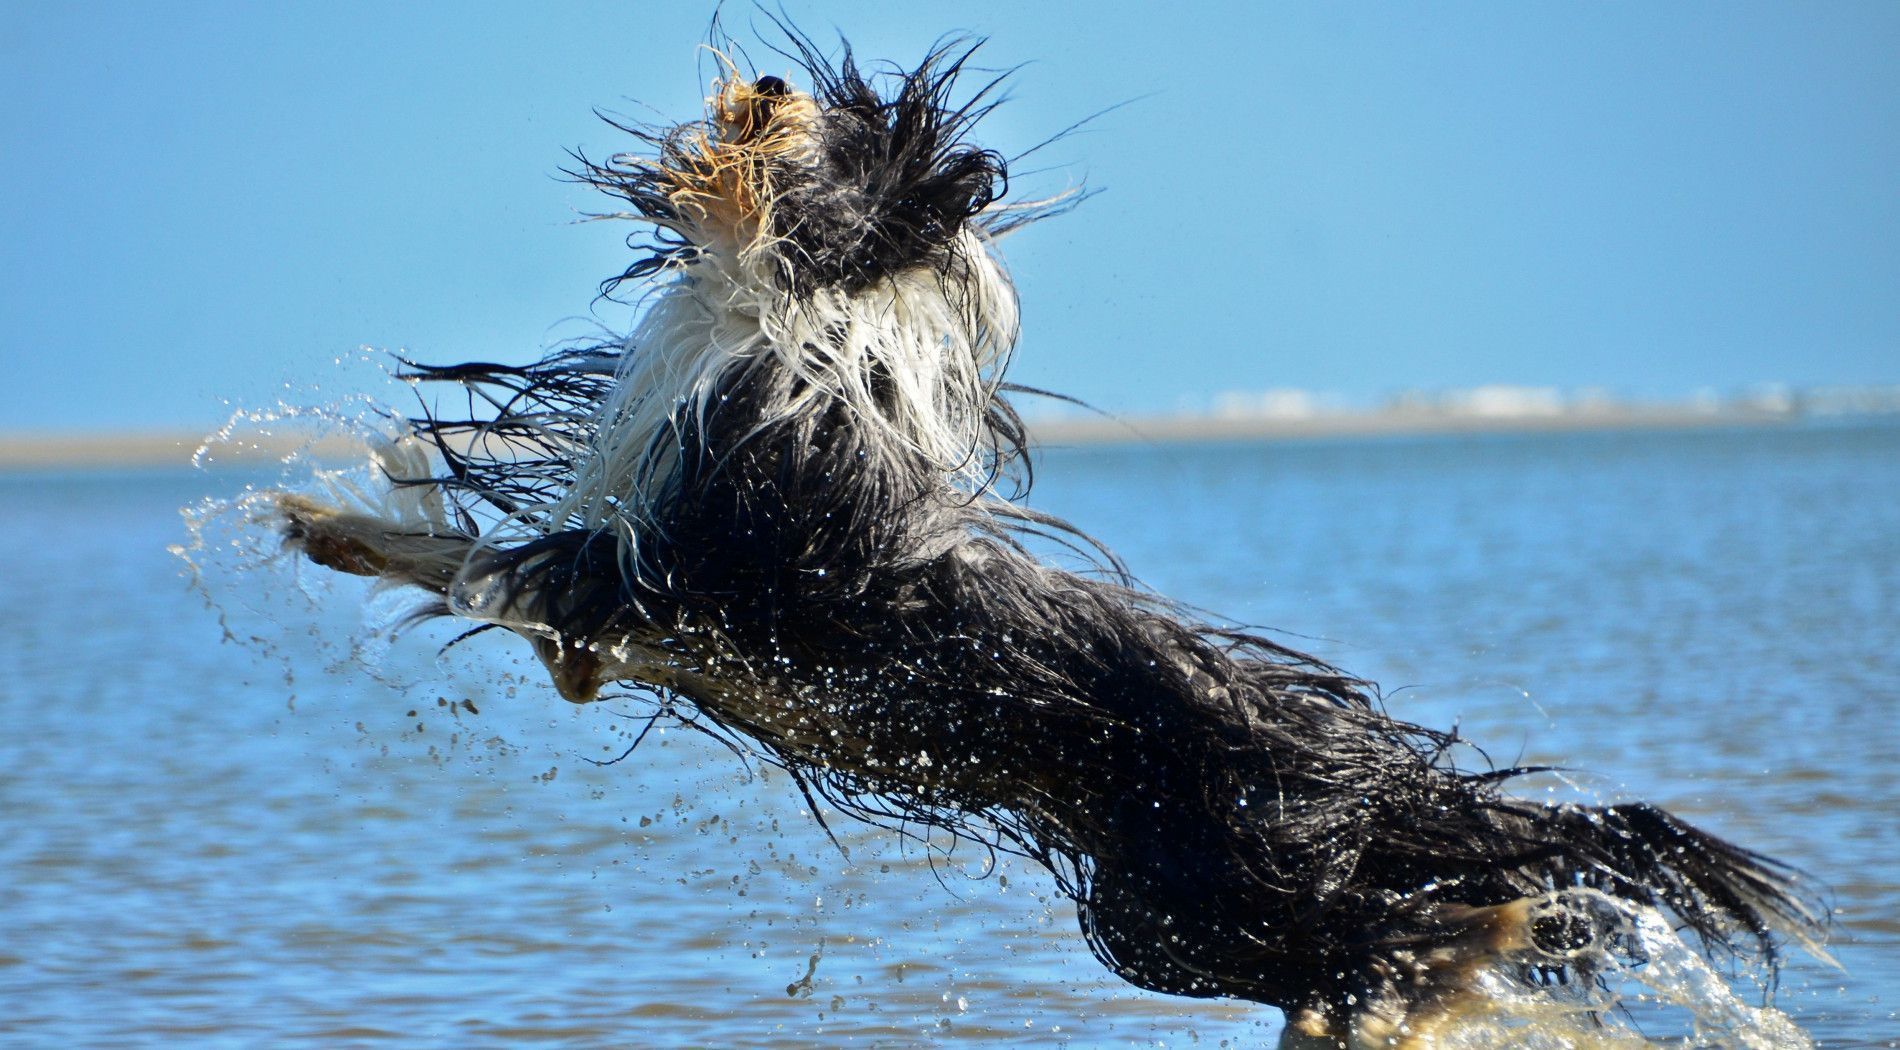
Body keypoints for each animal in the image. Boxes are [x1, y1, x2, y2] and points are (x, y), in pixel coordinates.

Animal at [271, 34, 1824, 1048]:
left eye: (837, 152)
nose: (764, 88)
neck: (779, 313)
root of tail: (1356, 760)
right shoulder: (620, 615)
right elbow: (473, 572)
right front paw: (325, 528)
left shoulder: (676, 572)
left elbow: (493, 562)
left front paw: (339, 523)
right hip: (1182, 908)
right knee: (1376, 949)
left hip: (1188, 900)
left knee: (1418, 938)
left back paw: (1436, 971)